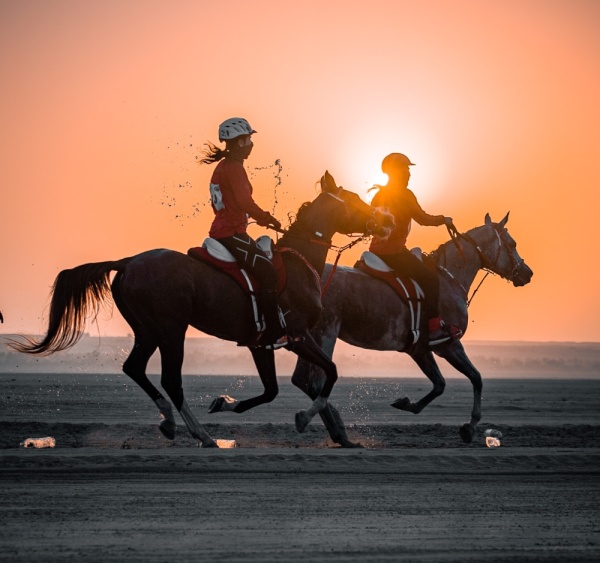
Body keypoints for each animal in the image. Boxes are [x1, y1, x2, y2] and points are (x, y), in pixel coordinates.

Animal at [10, 174, 394, 448]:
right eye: (356, 201)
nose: (386, 221)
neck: (298, 263)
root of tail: (129, 261)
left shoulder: (261, 344)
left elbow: (272, 390)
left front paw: (224, 403)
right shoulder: (296, 336)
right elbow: (330, 373)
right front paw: (303, 417)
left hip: (148, 331)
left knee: (134, 368)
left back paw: (169, 421)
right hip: (171, 331)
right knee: (171, 380)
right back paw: (202, 435)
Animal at [288, 214, 532, 448]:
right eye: (512, 243)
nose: (527, 273)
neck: (449, 279)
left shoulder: (420, 349)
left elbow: (440, 384)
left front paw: (406, 404)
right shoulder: (448, 345)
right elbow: (476, 378)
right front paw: (469, 427)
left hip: (308, 337)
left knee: (302, 380)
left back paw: (340, 433)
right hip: (325, 334)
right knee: (316, 381)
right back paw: (326, 427)